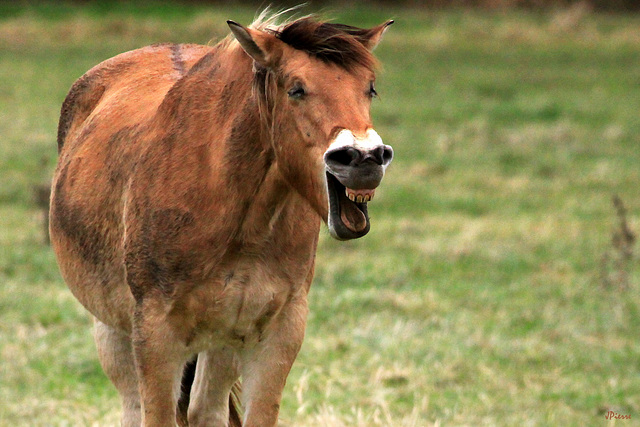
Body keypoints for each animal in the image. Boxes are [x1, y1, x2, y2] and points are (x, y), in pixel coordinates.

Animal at [50, 11, 392, 426]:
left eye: (369, 89)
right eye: (296, 89)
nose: (364, 158)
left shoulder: (277, 332)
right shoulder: (155, 337)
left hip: (223, 339)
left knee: (205, 410)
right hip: (112, 330)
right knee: (133, 407)